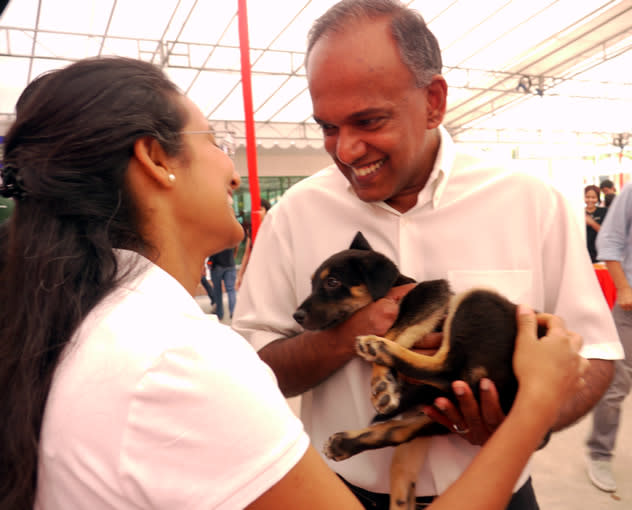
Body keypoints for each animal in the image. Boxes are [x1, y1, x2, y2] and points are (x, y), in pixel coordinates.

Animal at [292, 232, 540, 510]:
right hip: (438, 415)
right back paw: (344, 444)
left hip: (475, 298)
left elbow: (395, 329)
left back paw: (376, 347)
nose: (296, 315)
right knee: (401, 435)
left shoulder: (430, 294)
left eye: (332, 282)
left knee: (447, 369)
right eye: (313, 283)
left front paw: (382, 383)